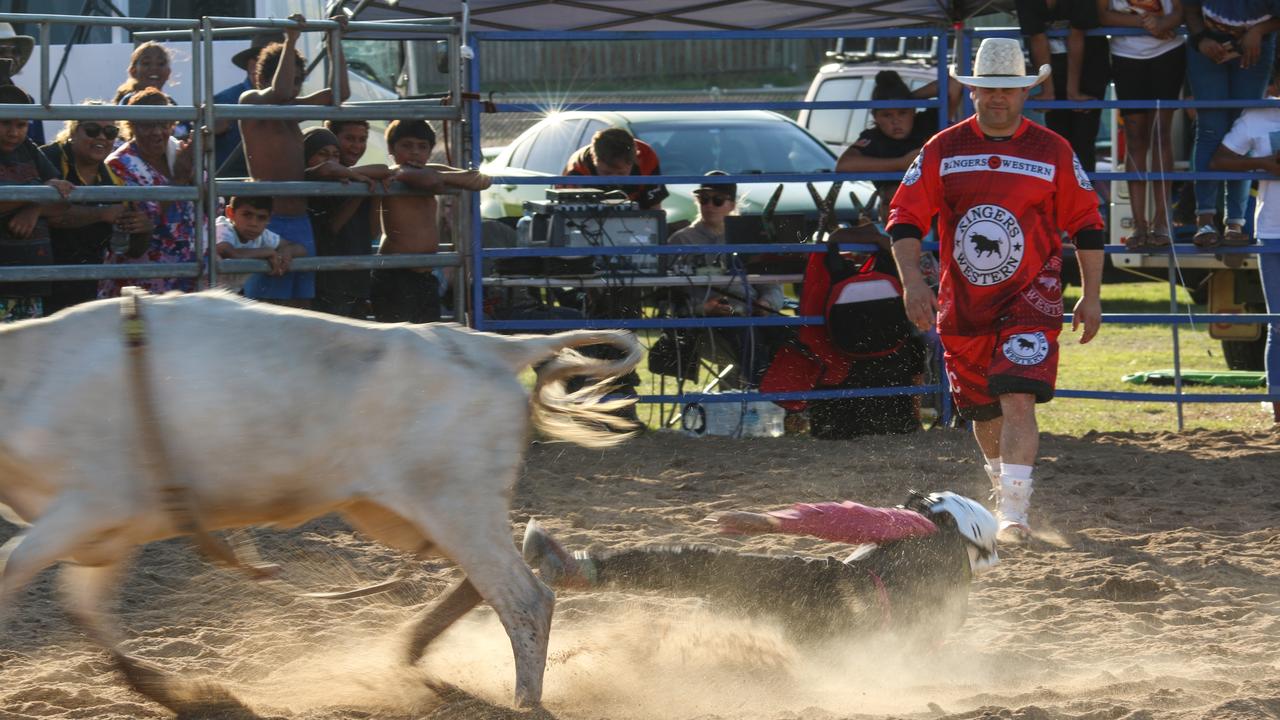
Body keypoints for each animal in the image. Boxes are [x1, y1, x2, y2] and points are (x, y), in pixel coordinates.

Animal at [0, 286, 640, 712]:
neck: (33, 375)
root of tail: (486, 346)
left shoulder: (87, 508)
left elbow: (10, 571)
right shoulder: (109, 535)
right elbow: (85, 613)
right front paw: (186, 695)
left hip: (454, 504)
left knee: (523, 600)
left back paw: (523, 701)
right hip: (409, 512)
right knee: (489, 582)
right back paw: (418, 645)